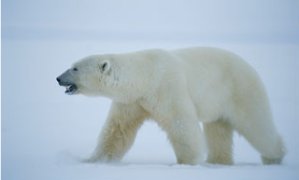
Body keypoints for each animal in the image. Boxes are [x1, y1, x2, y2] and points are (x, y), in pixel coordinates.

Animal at [56, 47, 286, 165]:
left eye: (74, 68)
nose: (58, 78)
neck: (145, 75)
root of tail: (250, 66)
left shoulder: (167, 88)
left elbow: (181, 124)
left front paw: (186, 162)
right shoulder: (132, 101)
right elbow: (118, 130)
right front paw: (94, 160)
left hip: (241, 90)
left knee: (256, 124)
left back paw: (274, 157)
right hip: (219, 102)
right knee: (218, 130)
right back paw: (218, 161)